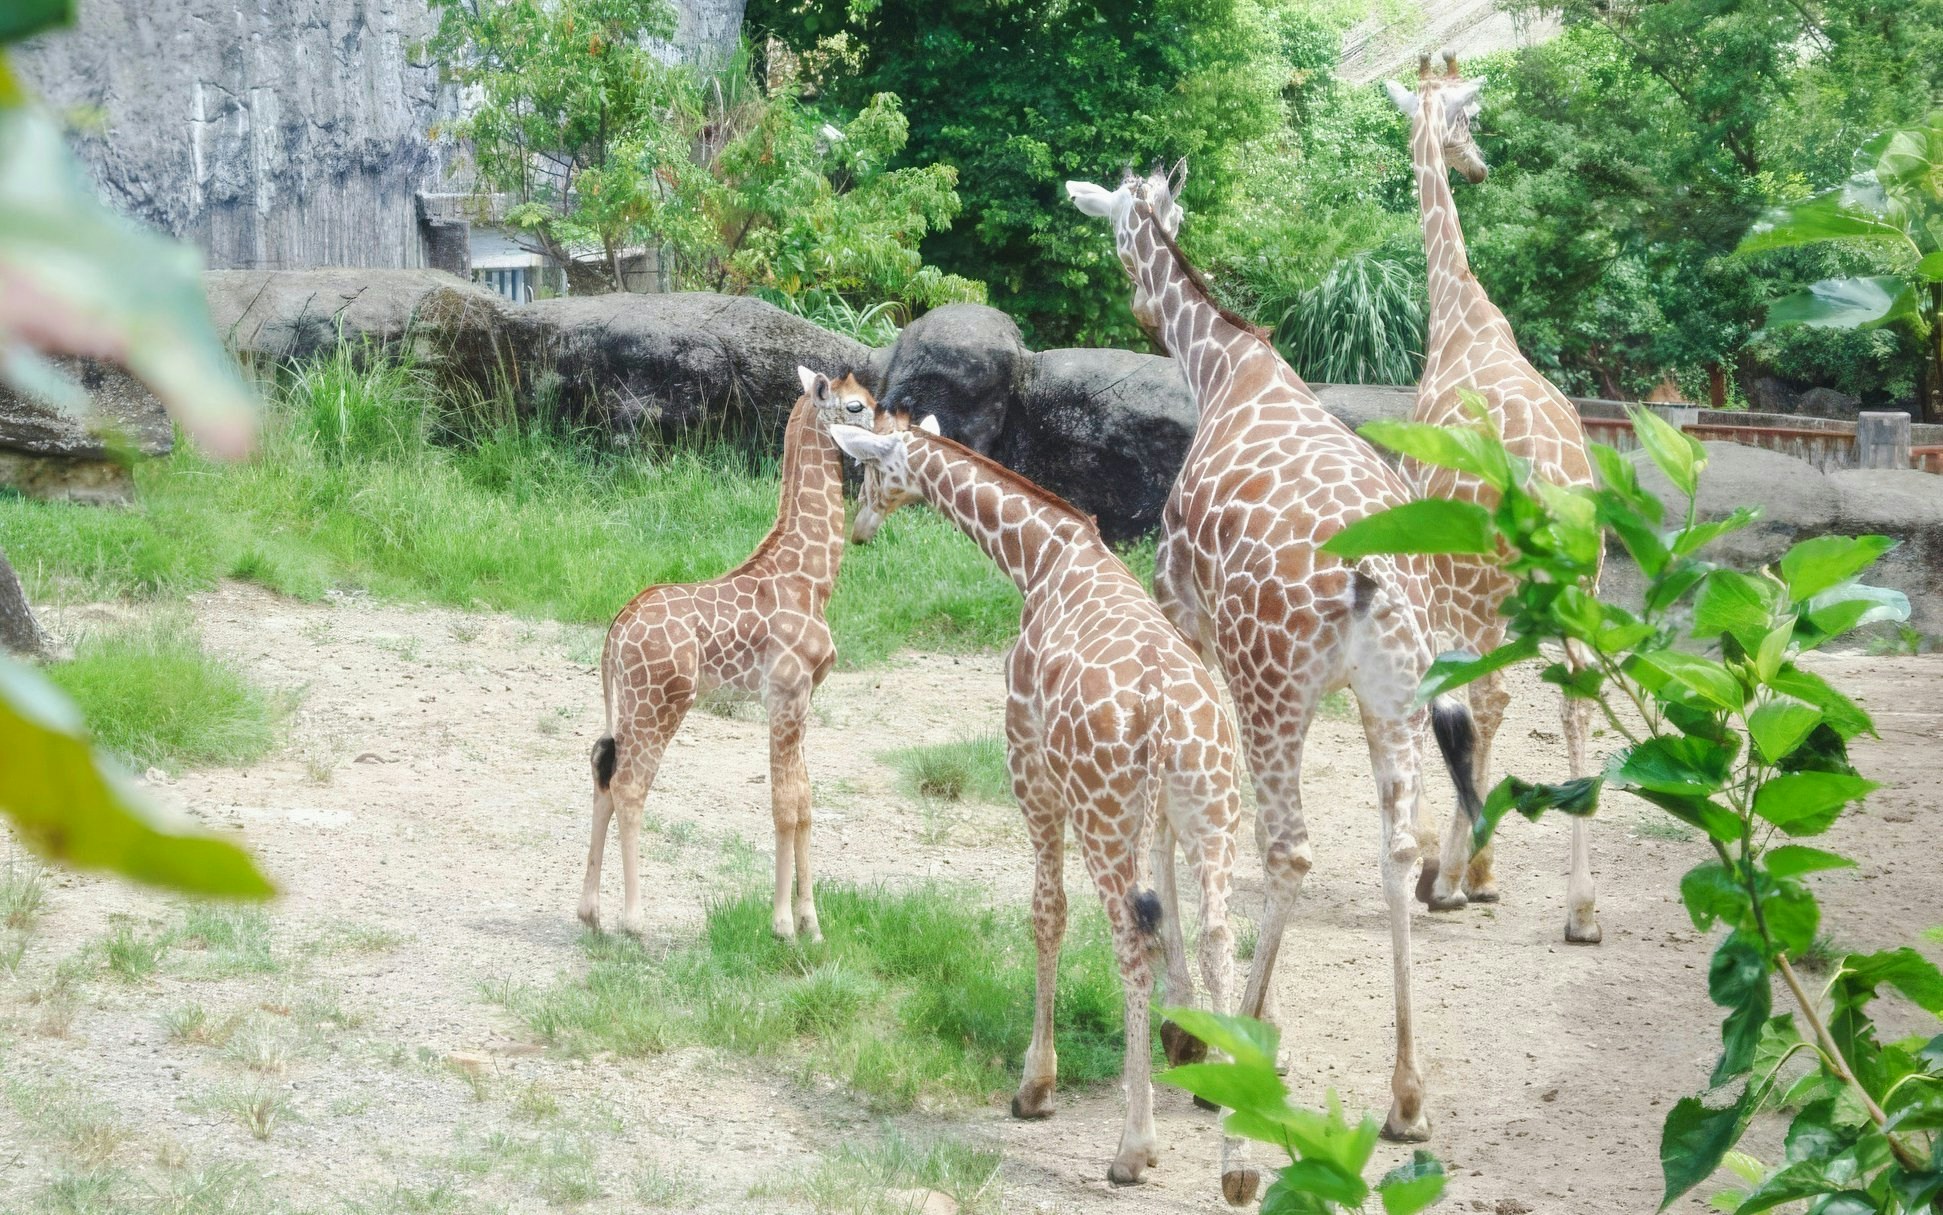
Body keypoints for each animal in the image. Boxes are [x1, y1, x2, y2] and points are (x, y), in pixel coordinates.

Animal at [577, 368, 867, 942]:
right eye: (857, 406)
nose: (896, 432)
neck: (813, 579)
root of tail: (616, 631)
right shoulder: (785, 695)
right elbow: (784, 804)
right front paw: (782, 925)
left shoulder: (802, 700)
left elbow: (806, 801)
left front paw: (813, 925)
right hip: (661, 704)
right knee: (630, 786)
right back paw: (634, 921)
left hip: (629, 705)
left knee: (602, 769)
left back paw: (591, 914)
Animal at [830, 406, 1243, 1191]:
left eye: (866, 467)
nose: (857, 527)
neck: (1041, 558)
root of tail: (1163, 716)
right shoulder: (1162, 817)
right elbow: (1175, 916)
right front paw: (1188, 1043)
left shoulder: (1028, 766)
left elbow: (1045, 914)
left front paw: (1035, 1087)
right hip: (1212, 808)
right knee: (1218, 934)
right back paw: (1237, 1148)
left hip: (1101, 811)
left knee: (1128, 941)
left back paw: (1133, 1149)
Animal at [1068, 164, 1485, 1144]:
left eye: (1116, 233)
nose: (1140, 308)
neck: (1225, 369)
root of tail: (1374, 576)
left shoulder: (1184, 621)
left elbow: (1170, 824)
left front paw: (1187, 1023)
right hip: (1389, 697)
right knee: (1394, 846)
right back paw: (1406, 1096)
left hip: (1273, 687)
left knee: (1288, 847)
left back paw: (1245, 1040)